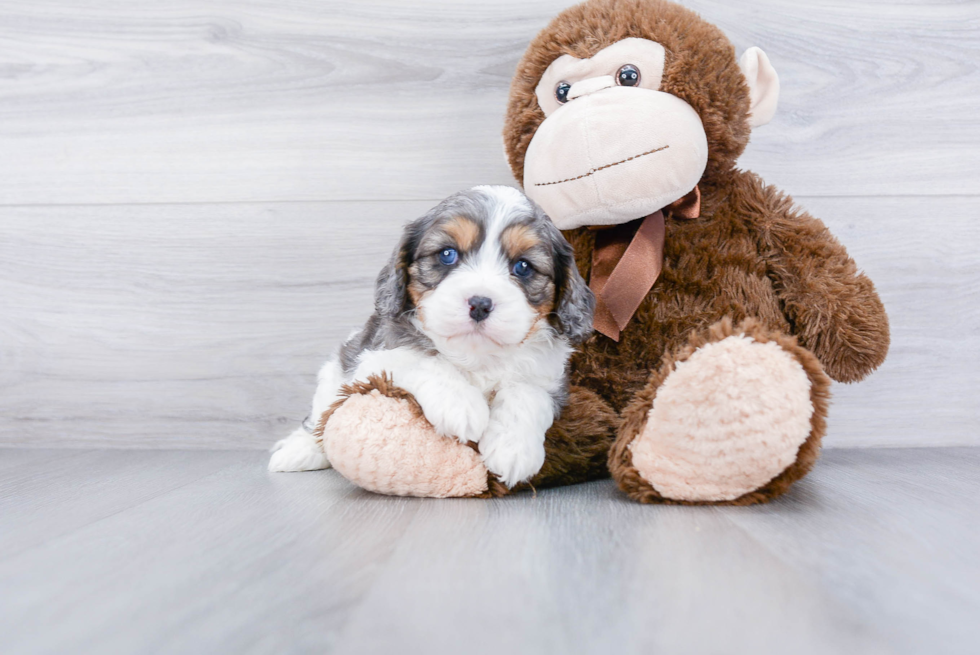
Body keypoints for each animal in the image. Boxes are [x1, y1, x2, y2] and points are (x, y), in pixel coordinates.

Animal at [264, 184, 592, 486]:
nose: (480, 303)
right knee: (321, 416)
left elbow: (526, 393)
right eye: (447, 254)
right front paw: (461, 404)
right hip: (335, 372)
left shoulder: (550, 378)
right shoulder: (373, 357)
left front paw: (513, 448)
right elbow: (422, 359)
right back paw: (299, 450)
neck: (477, 355)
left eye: (523, 266)